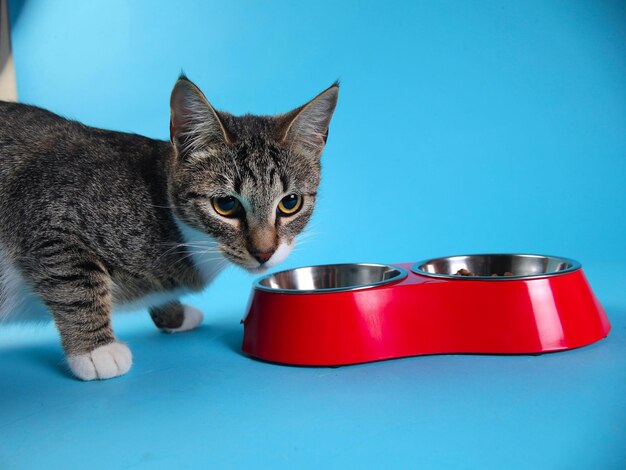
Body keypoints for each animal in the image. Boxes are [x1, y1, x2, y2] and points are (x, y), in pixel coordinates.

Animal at [0, 75, 336, 380]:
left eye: (290, 202)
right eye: (226, 204)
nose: (264, 252)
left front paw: (174, 313)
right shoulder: (49, 211)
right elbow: (74, 281)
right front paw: (96, 351)